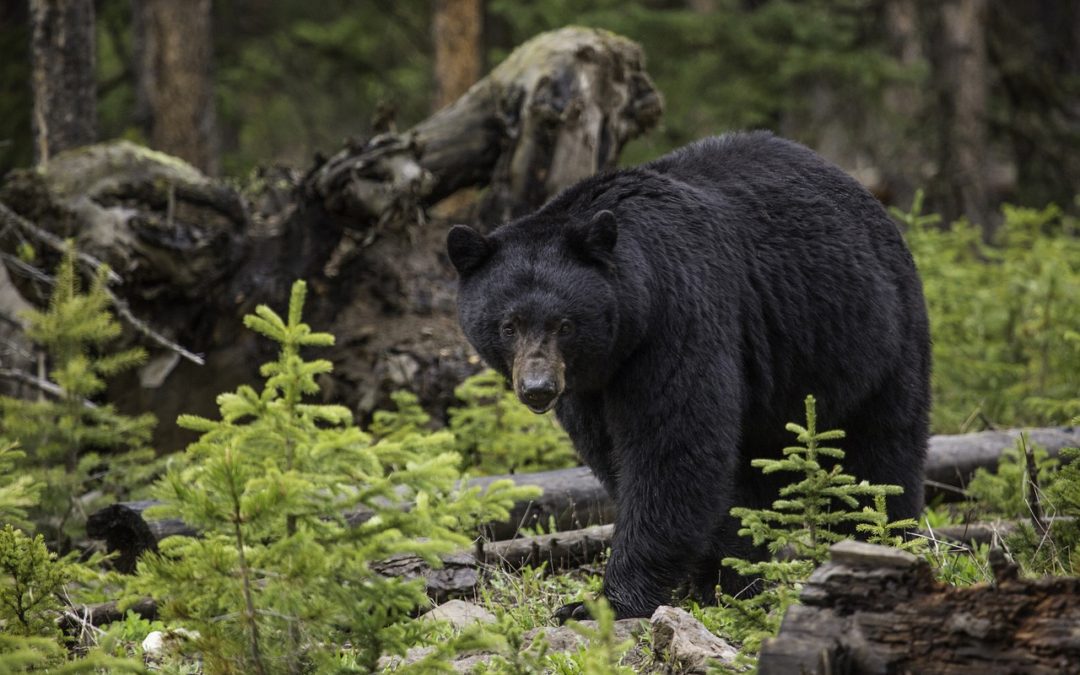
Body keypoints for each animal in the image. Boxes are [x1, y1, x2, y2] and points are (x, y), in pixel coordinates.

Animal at [444, 129, 928, 617]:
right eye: (508, 325)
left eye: (565, 324)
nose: (538, 389)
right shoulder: (590, 385)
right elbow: (615, 453)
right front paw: (716, 577)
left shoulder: (678, 317)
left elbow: (673, 447)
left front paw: (608, 601)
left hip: (873, 339)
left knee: (882, 454)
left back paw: (880, 542)